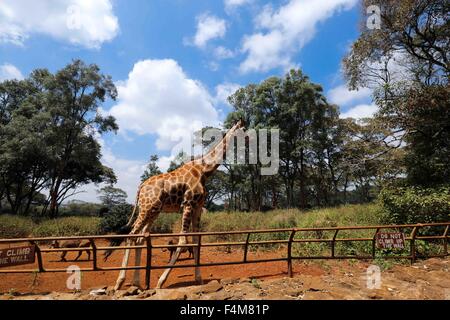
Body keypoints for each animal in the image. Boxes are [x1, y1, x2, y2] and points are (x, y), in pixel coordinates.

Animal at [110, 120, 244, 290]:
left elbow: (196, 242)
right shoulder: (187, 204)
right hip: (146, 209)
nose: (250, 140)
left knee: (139, 239)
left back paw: (137, 283)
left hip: (154, 211)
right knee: (130, 236)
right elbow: (182, 242)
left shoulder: (198, 207)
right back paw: (119, 282)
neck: (204, 170)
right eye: (244, 129)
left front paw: (199, 279)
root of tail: (141, 187)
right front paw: (161, 282)